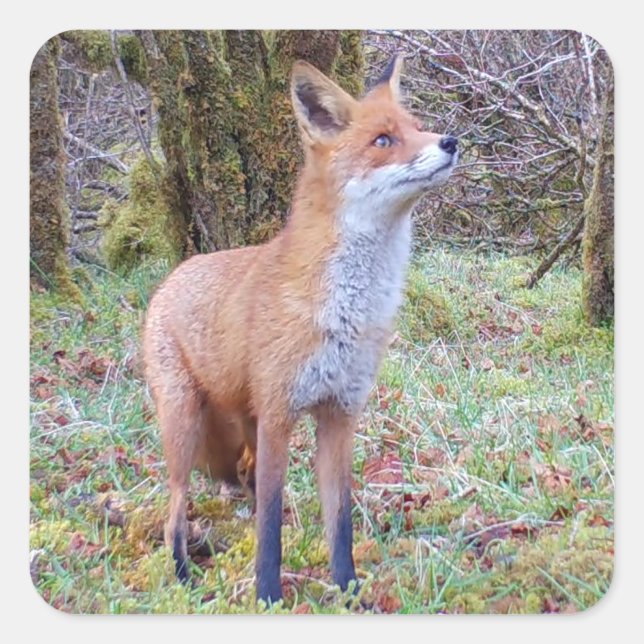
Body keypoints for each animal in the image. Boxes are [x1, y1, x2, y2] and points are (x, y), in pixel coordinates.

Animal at [143, 54, 458, 605]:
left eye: (419, 127)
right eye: (383, 140)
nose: (451, 141)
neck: (347, 315)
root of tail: (171, 278)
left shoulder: (340, 416)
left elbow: (340, 522)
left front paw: (349, 593)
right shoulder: (279, 414)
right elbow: (270, 528)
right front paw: (268, 596)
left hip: (242, 427)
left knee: (243, 481)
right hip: (184, 426)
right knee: (176, 510)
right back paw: (183, 575)